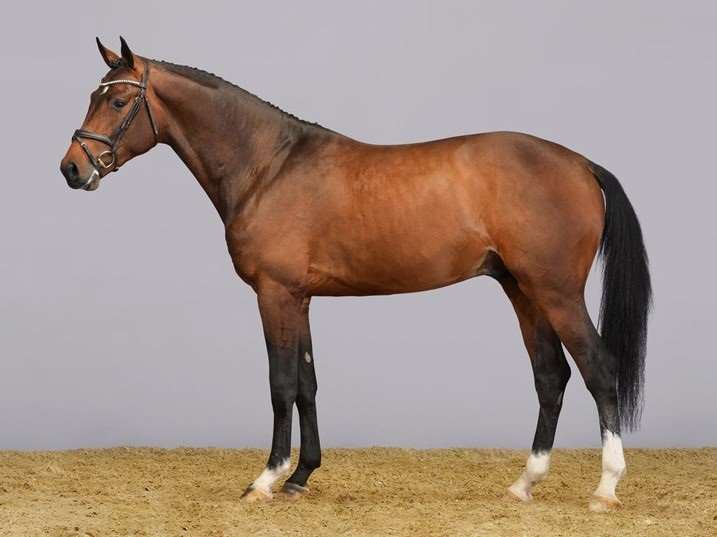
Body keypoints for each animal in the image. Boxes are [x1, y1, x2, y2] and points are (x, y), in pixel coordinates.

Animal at [60, 37, 651, 512]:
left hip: (557, 292)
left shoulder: (275, 294)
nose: (71, 167)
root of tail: (579, 163)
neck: (270, 166)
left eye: (117, 100)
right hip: (522, 291)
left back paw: (605, 489)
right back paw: (524, 484)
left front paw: (265, 480)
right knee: (551, 376)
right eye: (94, 95)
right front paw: (300, 476)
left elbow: (280, 384)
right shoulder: (300, 297)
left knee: (599, 369)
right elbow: (308, 383)